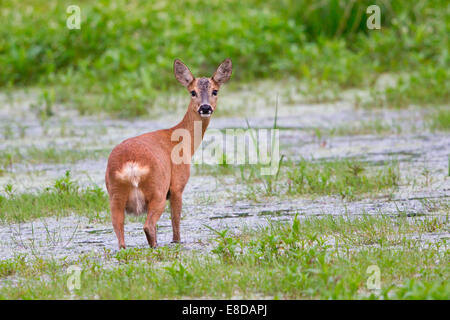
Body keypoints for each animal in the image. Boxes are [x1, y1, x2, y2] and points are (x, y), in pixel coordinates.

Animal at [105, 58, 232, 249]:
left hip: (115, 195)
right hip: (157, 190)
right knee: (149, 226)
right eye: (193, 92)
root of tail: (131, 166)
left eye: (215, 91)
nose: (205, 107)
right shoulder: (177, 184)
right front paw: (177, 241)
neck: (182, 142)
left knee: (119, 231)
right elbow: (176, 223)